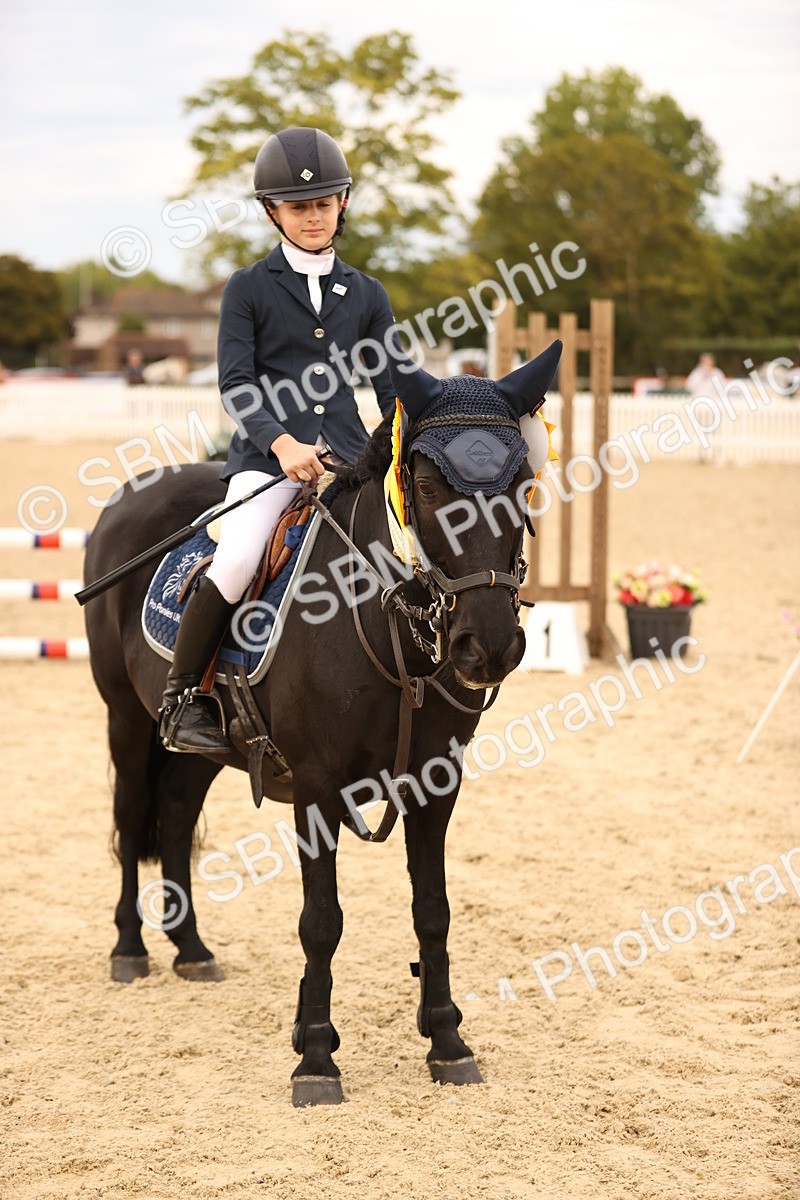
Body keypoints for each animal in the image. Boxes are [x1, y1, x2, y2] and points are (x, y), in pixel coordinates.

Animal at [82, 343, 561, 1106]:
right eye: (428, 485)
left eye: (523, 482)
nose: (487, 646)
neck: (385, 623)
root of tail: (133, 494)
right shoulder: (315, 786)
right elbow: (322, 921)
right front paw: (315, 1057)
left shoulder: (436, 783)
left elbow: (433, 909)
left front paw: (448, 1042)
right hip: (124, 717)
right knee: (132, 817)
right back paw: (130, 949)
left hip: (200, 749)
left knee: (177, 815)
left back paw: (191, 950)